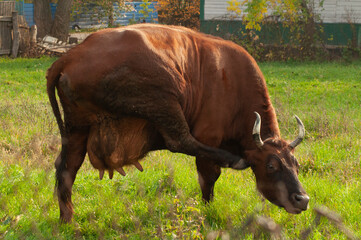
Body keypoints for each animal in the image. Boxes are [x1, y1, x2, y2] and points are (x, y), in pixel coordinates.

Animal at [46, 23, 308, 222]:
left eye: (296, 164)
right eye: (271, 165)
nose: (302, 199)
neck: (234, 82)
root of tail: (71, 55)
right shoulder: (208, 138)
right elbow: (208, 177)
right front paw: (208, 211)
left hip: (77, 128)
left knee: (67, 167)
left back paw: (67, 218)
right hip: (164, 94)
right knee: (179, 139)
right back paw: (233, 160)